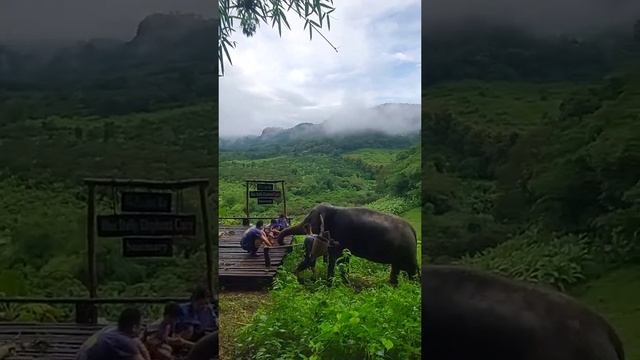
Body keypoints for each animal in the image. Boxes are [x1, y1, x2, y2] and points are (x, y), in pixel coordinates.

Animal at [276, 202, 420, 284]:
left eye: (308, 221)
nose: (282, 242)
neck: (334, 208)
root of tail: (413, 230)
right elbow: (344, 259)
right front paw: (345, 283)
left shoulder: (341, 234)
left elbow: (336, 257)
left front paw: (330, 284)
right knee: (397, 268)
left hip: (407, 251)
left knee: (412, 270)